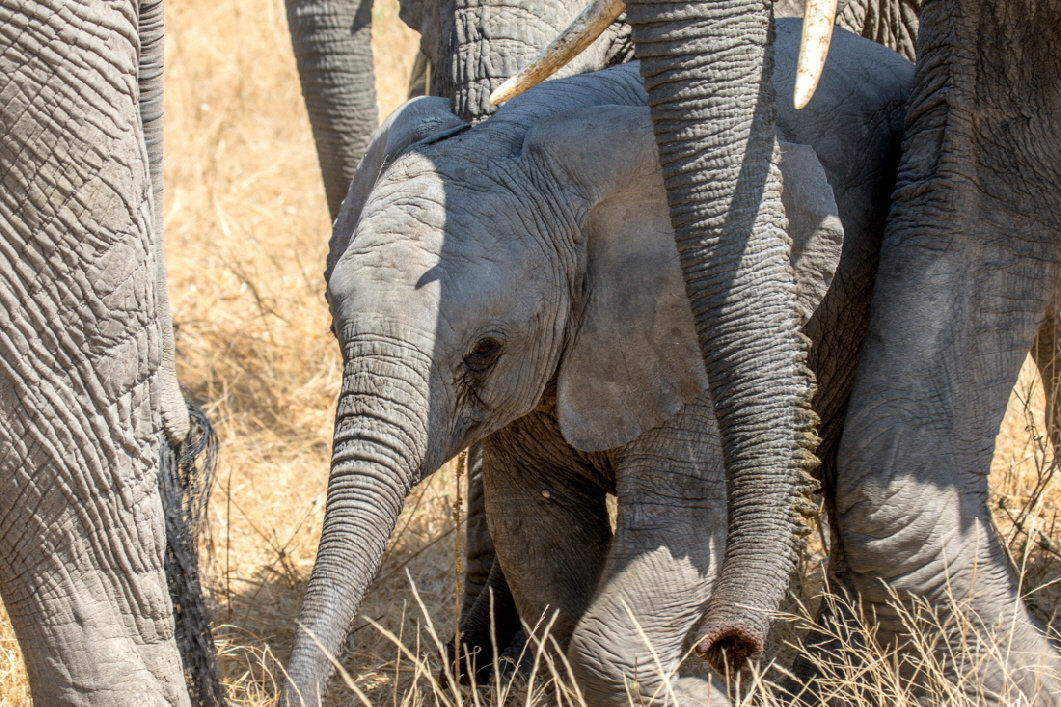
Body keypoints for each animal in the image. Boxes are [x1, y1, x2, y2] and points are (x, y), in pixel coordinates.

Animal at [282, 20, 912, 704]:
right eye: (336, 330)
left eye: (484, 353)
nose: (730, 649)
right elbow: (539, 537)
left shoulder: (683, 344)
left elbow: (672, 527)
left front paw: (696, 691)